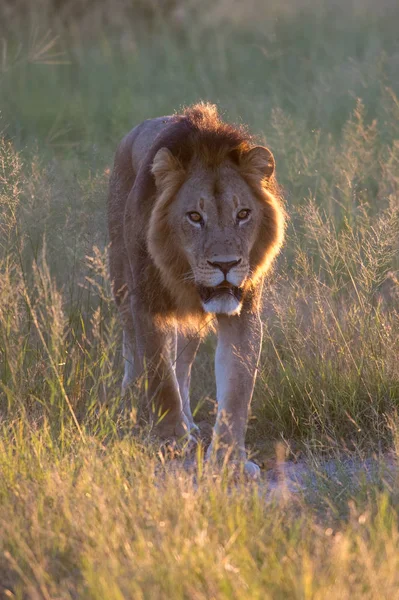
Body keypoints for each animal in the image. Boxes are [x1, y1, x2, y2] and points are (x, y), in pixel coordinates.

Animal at [108, 103, 286, 478]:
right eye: (194, 216)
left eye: (243, 213)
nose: (225, 265)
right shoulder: (148, 305)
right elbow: (160, 377)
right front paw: (170, 441)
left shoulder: (242, 312)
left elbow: (236, 391)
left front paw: (231, 459)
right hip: (120, 279)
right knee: (133, 346)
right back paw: (131, 399)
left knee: (184, 365)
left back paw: (189, 422)